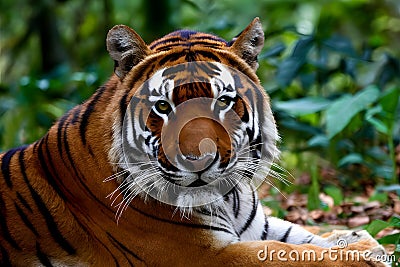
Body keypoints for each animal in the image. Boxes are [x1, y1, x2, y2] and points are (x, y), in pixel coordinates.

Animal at [0, 17, 388, 266]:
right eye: (162, 106)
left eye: (224, 101)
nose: (199, 159)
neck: (228, 198)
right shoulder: (206, 254)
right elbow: (293, 255)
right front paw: (364, 255)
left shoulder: (256, 226)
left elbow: (305, 236)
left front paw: (363, 240)